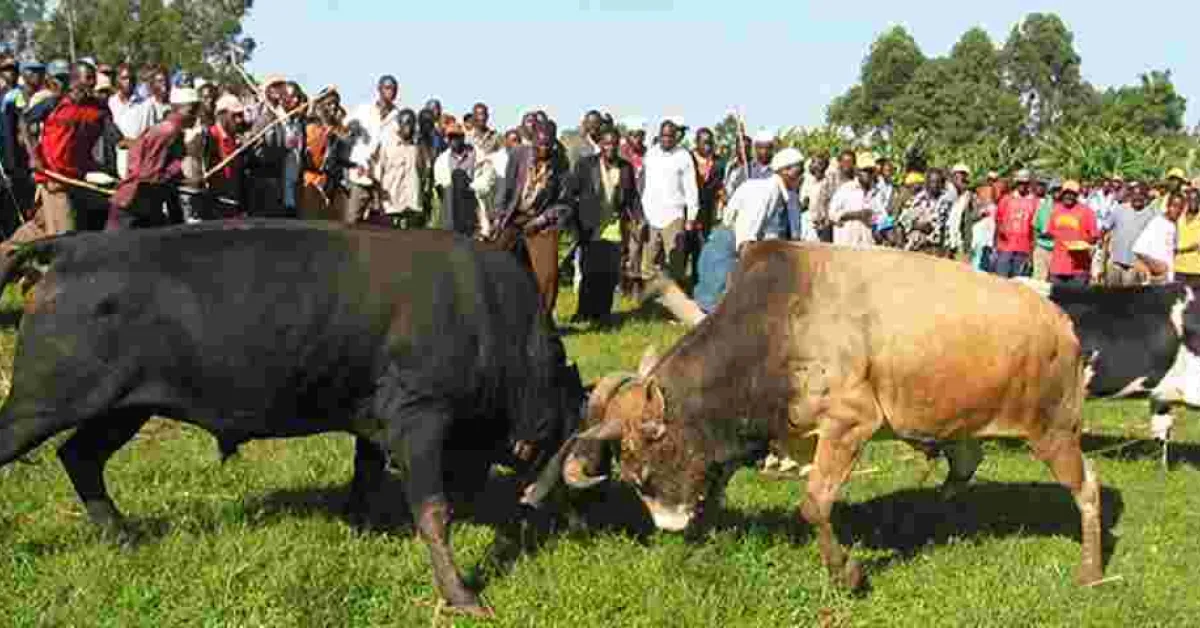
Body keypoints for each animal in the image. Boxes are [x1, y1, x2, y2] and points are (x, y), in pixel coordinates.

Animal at [0, 220, 584, 618]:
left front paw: (361, 527)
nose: (545, 501)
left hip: (123, 408)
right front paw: (463, 595)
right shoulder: (419, 418)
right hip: (43, 404)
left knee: (79, 456)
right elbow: (434, 512)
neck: (492, 320)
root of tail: (70, 247)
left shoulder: (373, 421)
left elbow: (365, 473)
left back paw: (122, 535)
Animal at [534, 241, 1104, 590]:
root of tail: (1062, 323)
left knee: (1089, 489)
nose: (669, 526)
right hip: (964, 427)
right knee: (962, 470)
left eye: (640, 462)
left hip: (1054, 432)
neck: (772, 331)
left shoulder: (850, 422)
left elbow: (814, 505)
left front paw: (847, 573)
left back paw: (1091, 572)